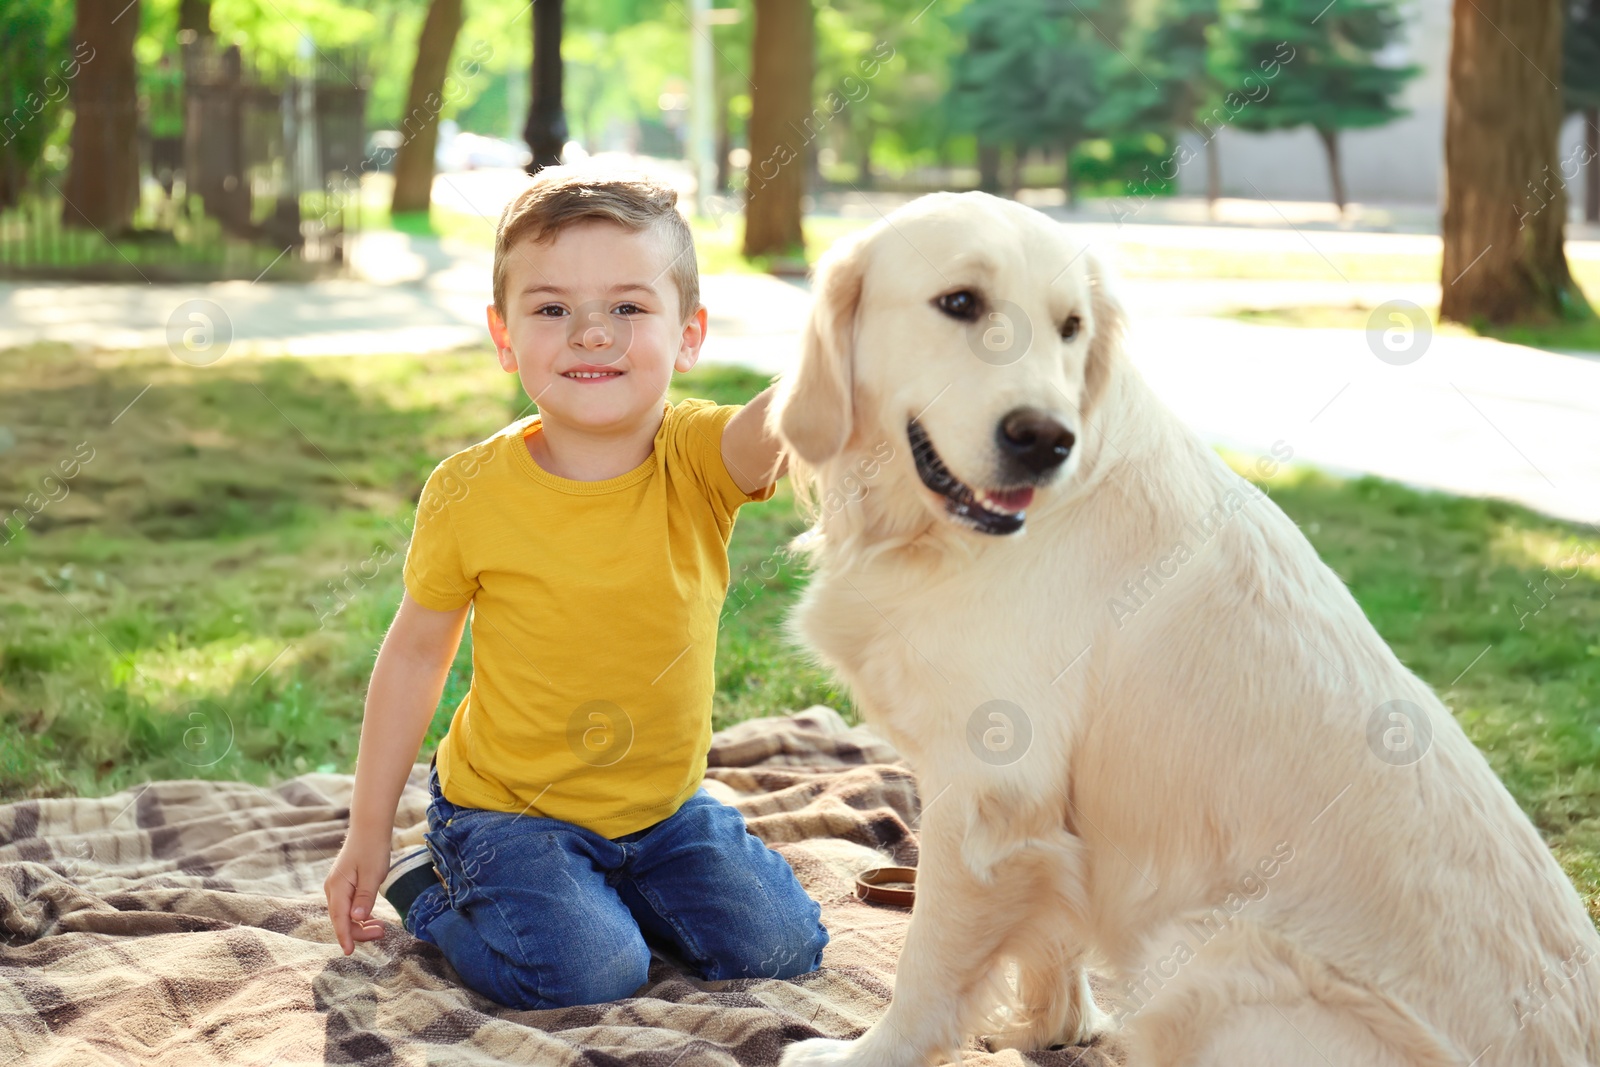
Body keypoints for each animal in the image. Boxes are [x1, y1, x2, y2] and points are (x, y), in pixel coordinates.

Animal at [764, 194, 1600, 1067]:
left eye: (1070, 326)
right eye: (960, 301)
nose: (1046, 439)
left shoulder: (988, 793)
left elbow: (927, 959)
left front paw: (864, 1054)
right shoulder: (1040, 818)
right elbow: (1051, 943)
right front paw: (1048, 1028)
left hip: (1206, 951)